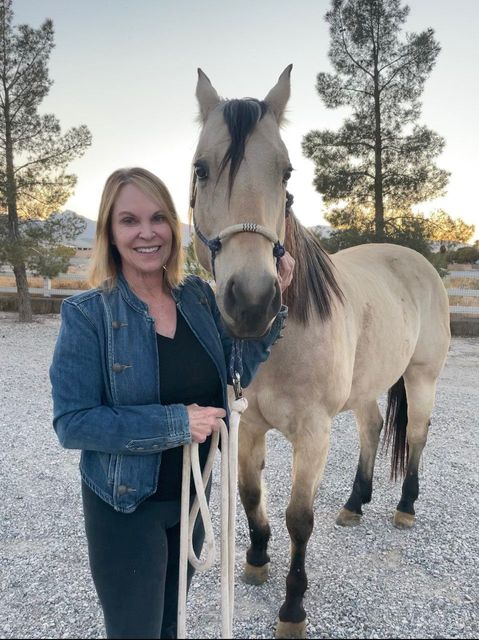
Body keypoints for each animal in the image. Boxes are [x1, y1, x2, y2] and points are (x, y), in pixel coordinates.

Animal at [190, 65, 451, 639]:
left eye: (286, 173)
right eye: (200, 169)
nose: (252, 301)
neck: (281, 339)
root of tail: (415, 260)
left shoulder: (312, 434)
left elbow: (298, 518)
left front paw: (292, 607)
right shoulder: (249, 424)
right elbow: (250, 495)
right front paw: (257, 560)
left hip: (421, 378)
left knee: (416, 435)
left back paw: (404, 506)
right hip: (367, 388)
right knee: (373, 427)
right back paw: (355, 503)